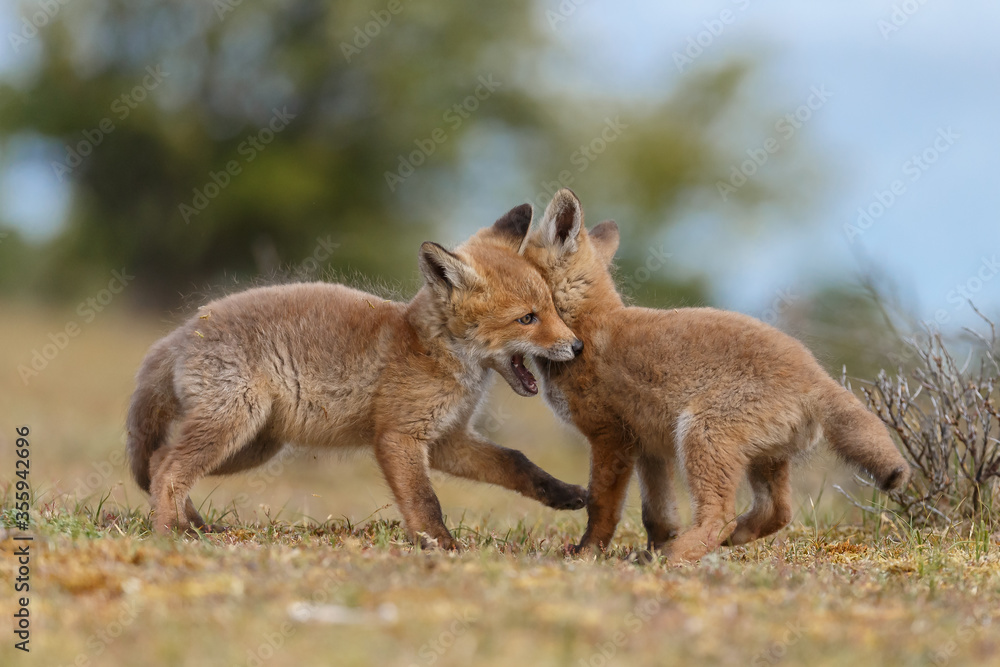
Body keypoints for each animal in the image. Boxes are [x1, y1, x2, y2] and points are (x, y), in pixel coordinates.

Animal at [126, 203, 588, 549]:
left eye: (552, 307)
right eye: (527, 318)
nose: (578, 346)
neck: (433, 348)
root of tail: (180, 332)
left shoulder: (447, 439)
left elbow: (516, 461)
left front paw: (564, 494)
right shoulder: (400, 436)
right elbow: (424, 501)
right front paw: (440, 545)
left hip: (252, 445)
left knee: (158, 462)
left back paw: (195, 526)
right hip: (233, 425)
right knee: (167, 470)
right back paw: (169, 535)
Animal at [521, 189, 910, 561]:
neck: (583, 326)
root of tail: (815, 375)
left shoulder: (611, 438)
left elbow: (602, 509)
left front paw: (588, 554)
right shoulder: (650, 448)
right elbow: (658, 516)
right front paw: (652, 546)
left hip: (702, 435)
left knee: (720, 518)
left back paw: (674, 556)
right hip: (764, 459)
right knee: (777, 513)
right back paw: (714, 543)